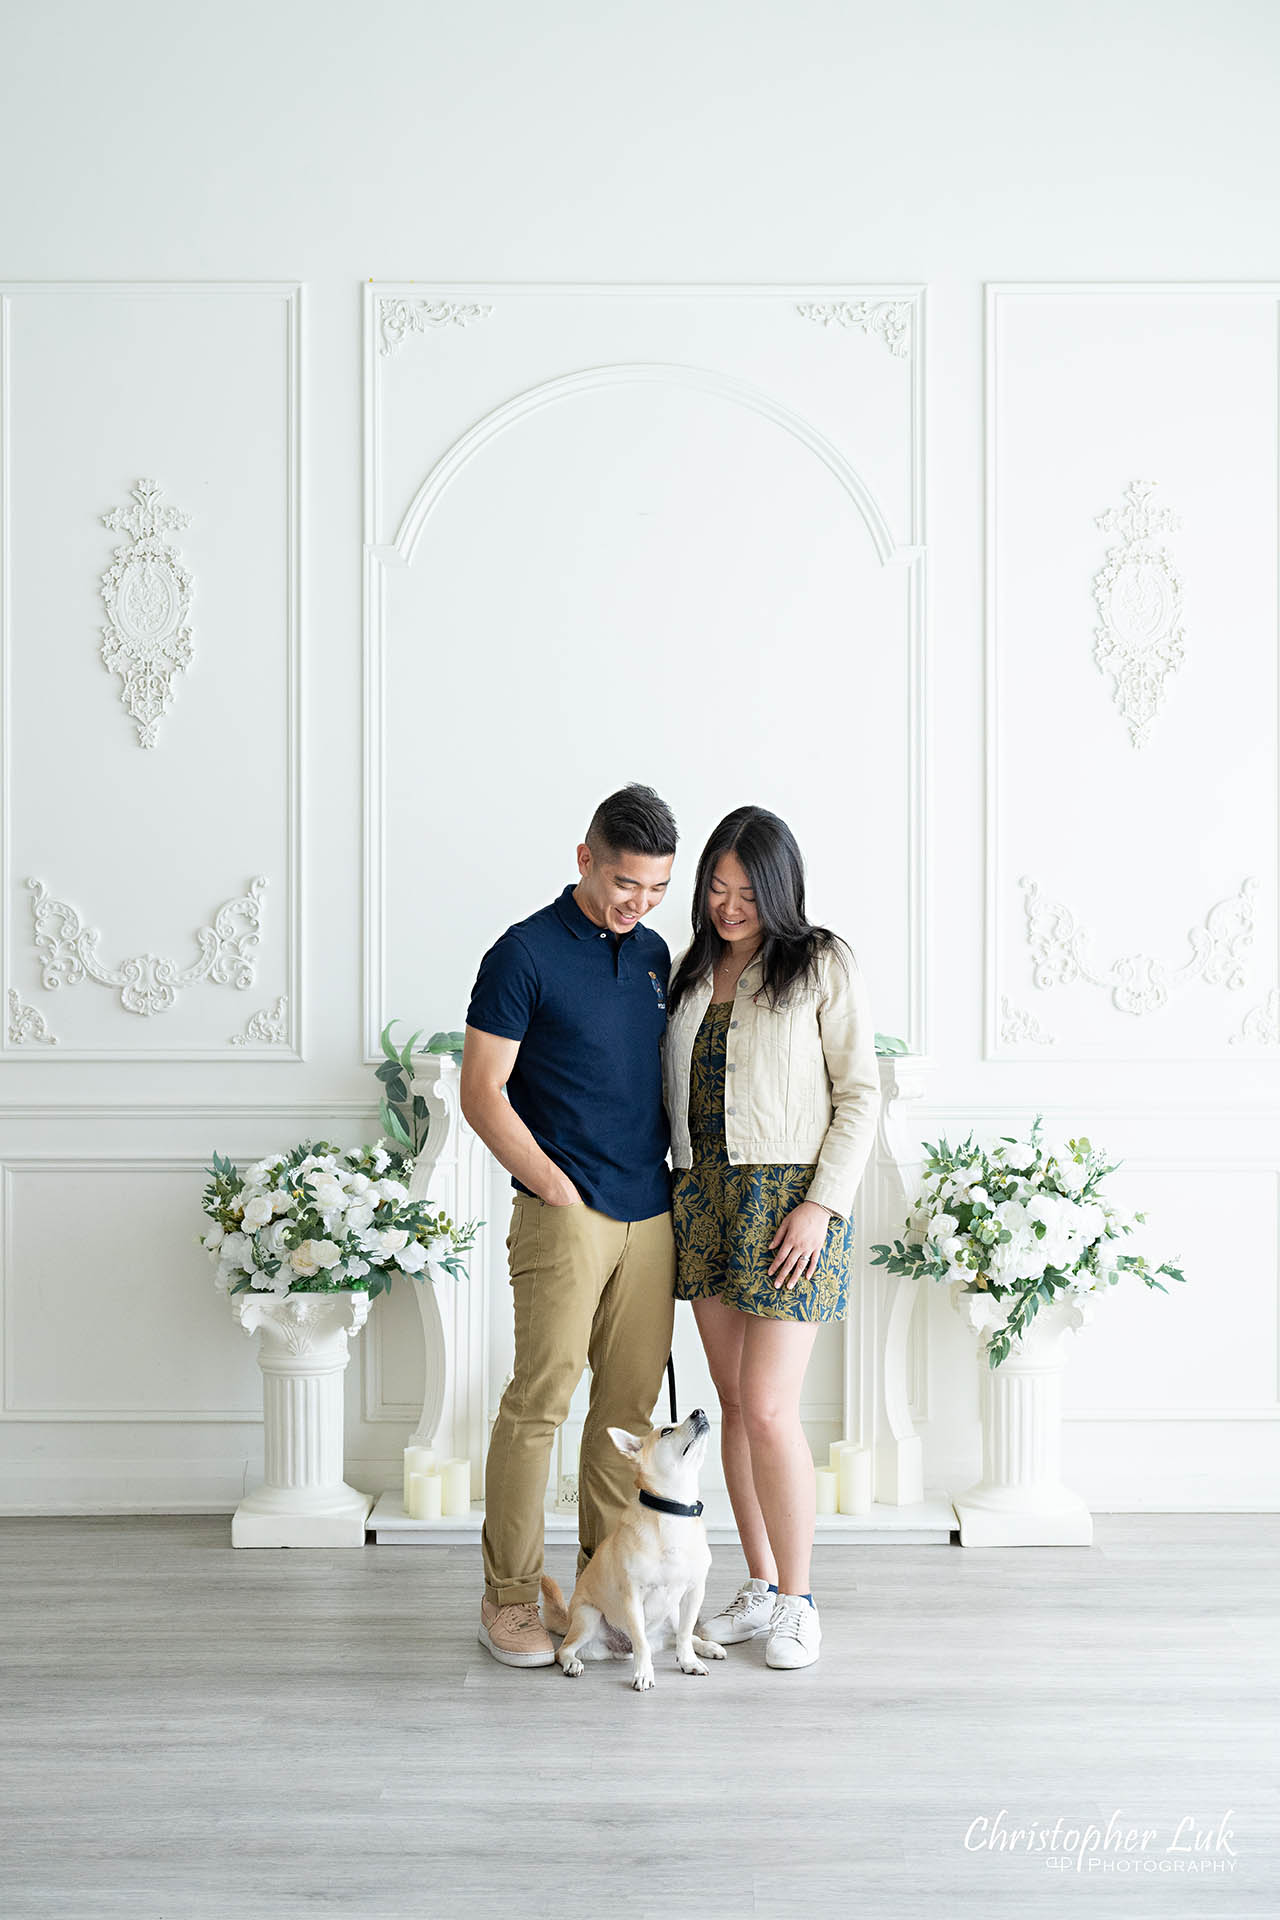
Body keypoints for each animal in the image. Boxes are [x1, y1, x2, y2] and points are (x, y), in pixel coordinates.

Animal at [537, 1405, 725, 1689]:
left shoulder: (694, 1592)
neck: (673, 1511)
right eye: (666, 1431)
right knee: (564, 1649)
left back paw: (706, 1647)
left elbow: (685, 1633)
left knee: (680, 1636)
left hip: (671, 1614)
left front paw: (689, 1661)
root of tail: (569, 1620)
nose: (699, 1411)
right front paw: (644, 1673)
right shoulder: (633, 1596)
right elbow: (641, 1642)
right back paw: (572, 1663)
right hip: (589, 1617)